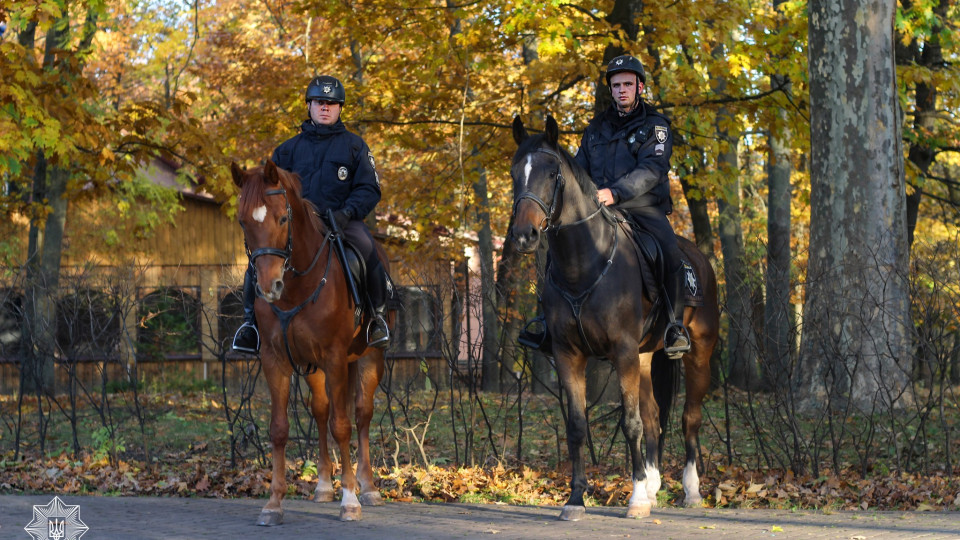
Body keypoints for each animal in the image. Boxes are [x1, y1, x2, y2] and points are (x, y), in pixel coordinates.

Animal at [231, 159, 392, 524]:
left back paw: (368, 487)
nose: (268, 286)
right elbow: (279, 429)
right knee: (320, 411)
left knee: (361, 414)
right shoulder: (275, 360)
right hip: (314, 368)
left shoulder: (334, 358)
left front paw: (350, 500)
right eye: (243, 222)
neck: (296, 288)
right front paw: (274, 503)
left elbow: (342, 426)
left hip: (369, 358)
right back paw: (323, 486)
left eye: (282, 218)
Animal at [512, 116, 716, 520]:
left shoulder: (622, 351)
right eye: (515, 173)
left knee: (689, 417)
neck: (585, 262)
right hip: (645, 356)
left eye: (551, 173)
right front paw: (576, 499)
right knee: (654, 415)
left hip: (699, 352)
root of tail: (698, 256)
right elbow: (577, 426)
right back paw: (653, 486)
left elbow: (630, 423)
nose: (524, 235)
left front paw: (635, 500)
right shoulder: (568, 354)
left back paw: (690, 489)